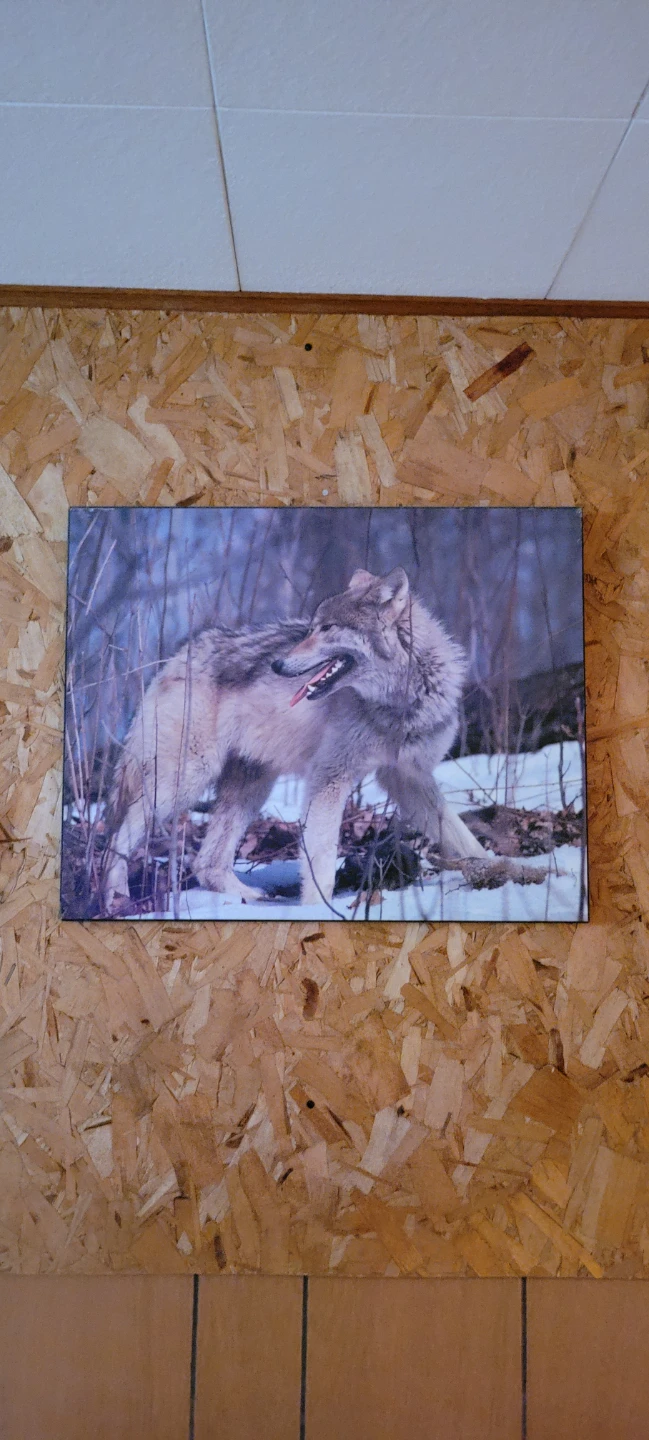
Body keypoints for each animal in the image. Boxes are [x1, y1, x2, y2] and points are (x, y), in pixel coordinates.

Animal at [104, 566, 489, 911]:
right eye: (310, 629)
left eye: (327, 628)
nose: (276, 665)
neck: (400, 703)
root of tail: (177, 657)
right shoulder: (330, 776)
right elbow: (321, 855)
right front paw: (318, 909)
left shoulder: (407, 778)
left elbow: (462, 837)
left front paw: (493, 873)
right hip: (186, 780)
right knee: (118, 836)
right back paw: (115, 897)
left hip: (250, 789)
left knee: (207, 863)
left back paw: (251, 898)